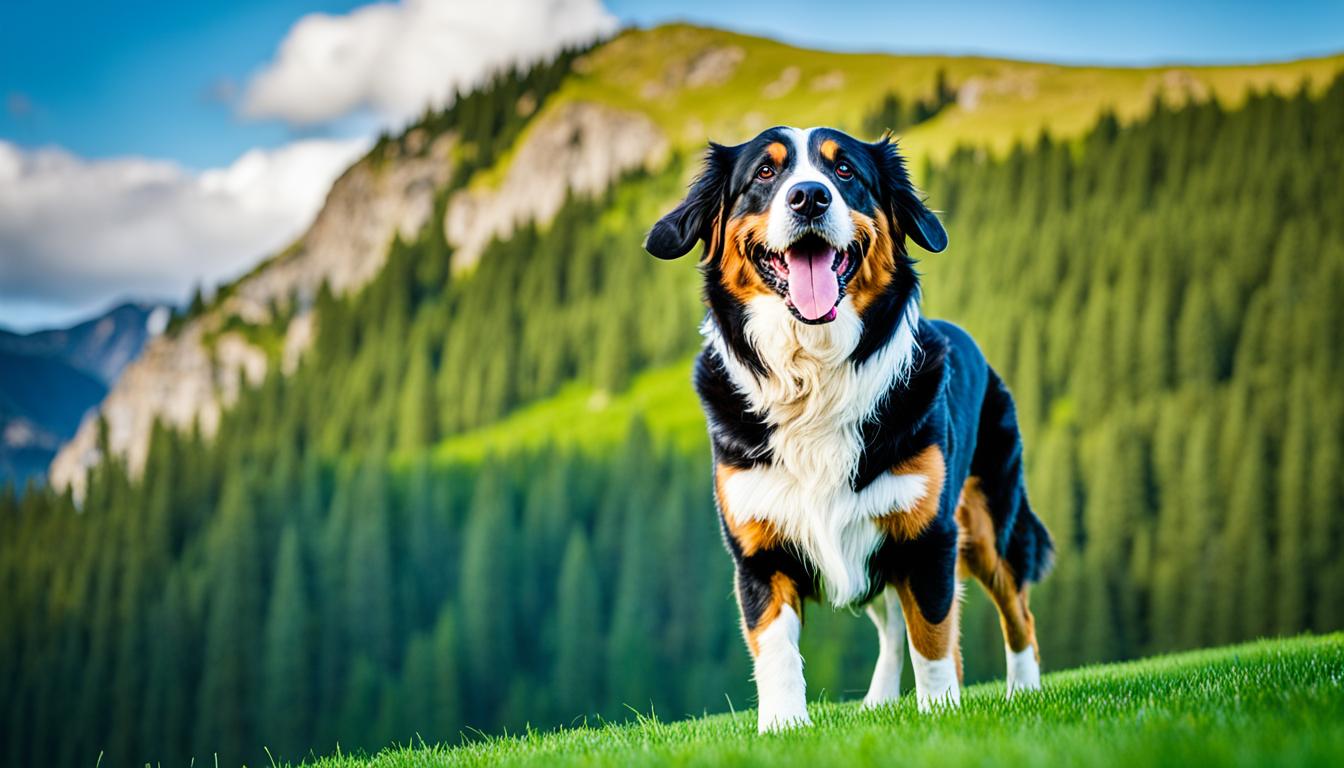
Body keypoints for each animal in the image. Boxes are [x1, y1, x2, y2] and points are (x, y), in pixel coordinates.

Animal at [645, 126, 1053, 731]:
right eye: (765, 173)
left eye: (845, 173)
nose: (809, 197)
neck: (813, 374)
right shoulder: (759, 551)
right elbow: (777, 651)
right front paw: (783, 727)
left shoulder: (928, 535)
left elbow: (932, 639)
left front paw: (939, 716)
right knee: (894, 628)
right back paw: (879, 702)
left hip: (987, 522)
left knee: (1016, 610)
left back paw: (1023, 691)